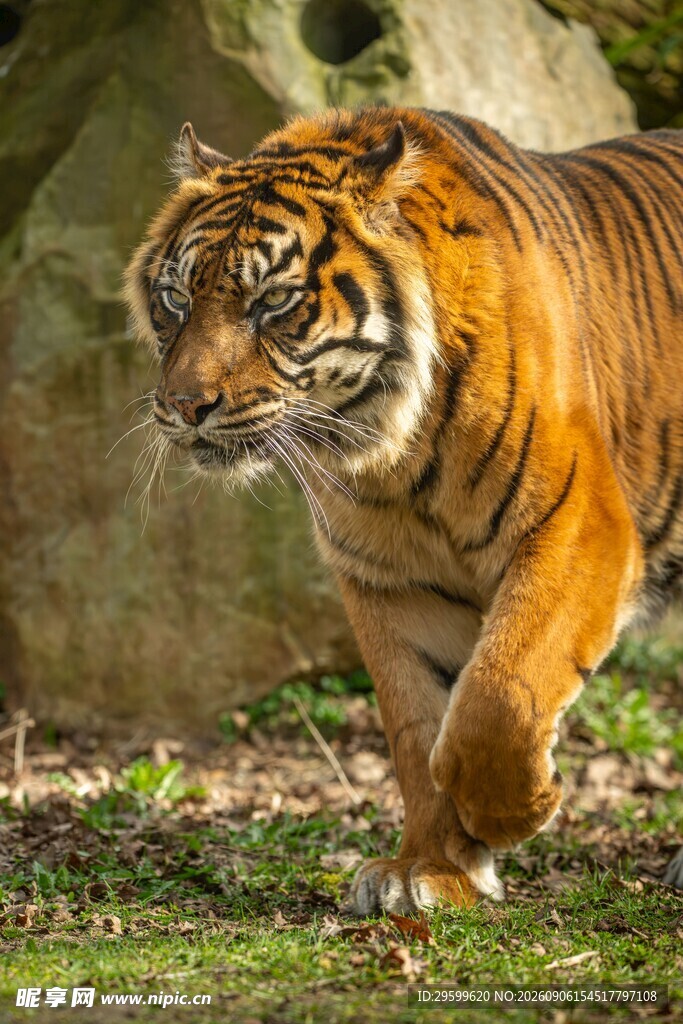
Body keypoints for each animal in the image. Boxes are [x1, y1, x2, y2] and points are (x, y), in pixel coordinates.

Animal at [124, 106, 683, 914]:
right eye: (176, 299)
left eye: (273, 302)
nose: (183, 405)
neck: (393, 447)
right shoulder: (391, 580)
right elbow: (418, 728)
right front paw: (431, 870)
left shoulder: (579, 525)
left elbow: (500, 694)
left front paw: (513, 812)